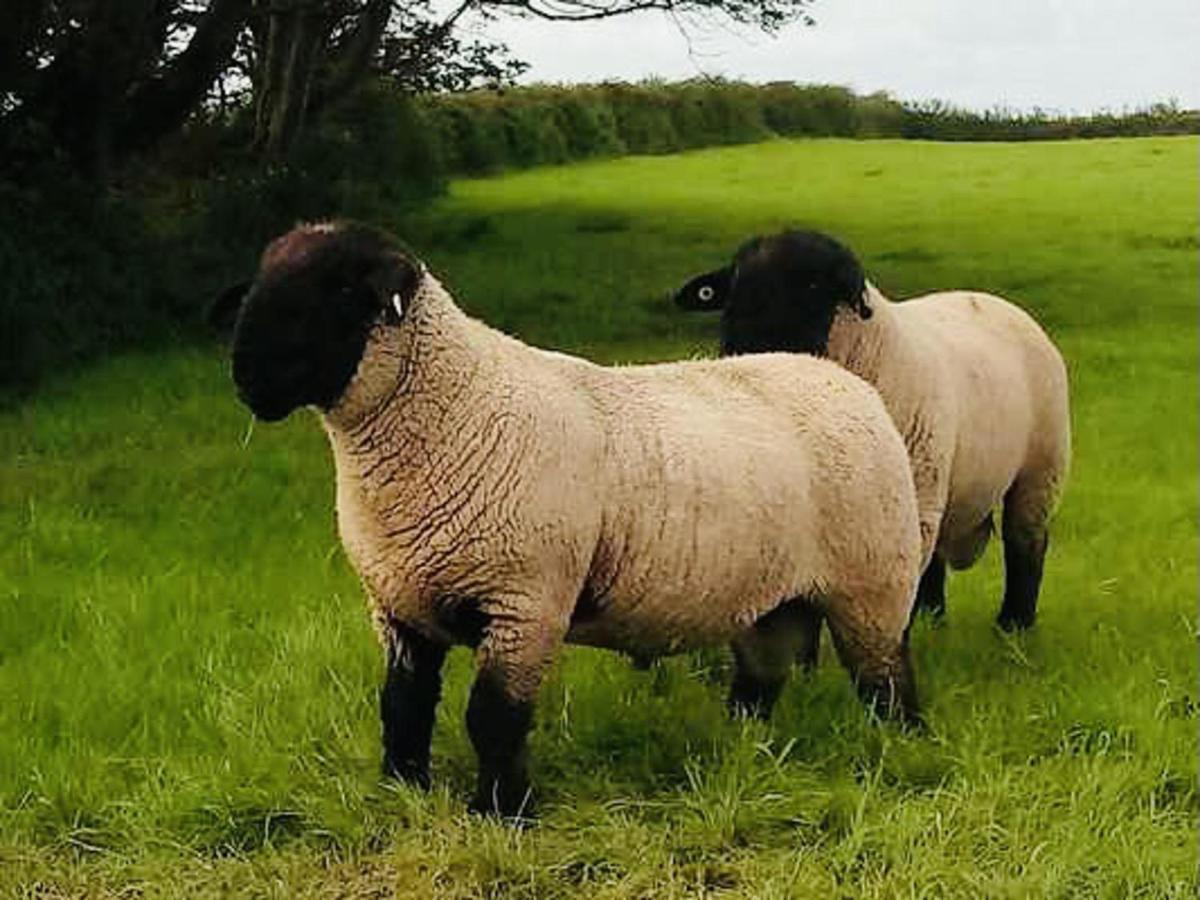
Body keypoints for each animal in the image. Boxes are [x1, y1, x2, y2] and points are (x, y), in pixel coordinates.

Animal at [216, 222, 921, 820]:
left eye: (339, 288)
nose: (246, 376)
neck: (450, 407)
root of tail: (841, 379)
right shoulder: (399, 605)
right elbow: (403, 707)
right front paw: (402, 790)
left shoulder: (524, 602)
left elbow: (492, 717)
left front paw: (501, 812)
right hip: (769, 597)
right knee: (762, 675)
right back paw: (744, 747)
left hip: (873, 583)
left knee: (886, 679)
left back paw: (903, 747)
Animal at [672, 229, 1075, 628]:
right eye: (735, 285)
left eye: (814, 285)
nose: (742, 348)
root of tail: (992, 300)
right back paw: (932, 616)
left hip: (1040, 467)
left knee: (1026, 542)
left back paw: (1014, 623)